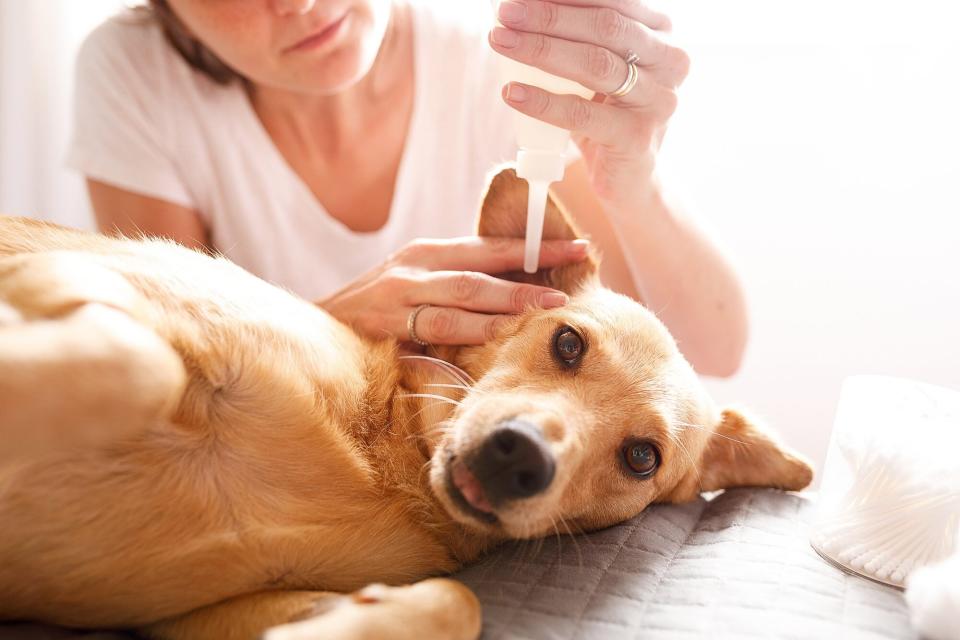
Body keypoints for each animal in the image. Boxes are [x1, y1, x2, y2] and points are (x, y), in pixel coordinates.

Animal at [0, 168, 812, 636]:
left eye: (642, 457)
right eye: (568, 343)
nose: (518, 459)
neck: (384, 466)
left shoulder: (192, 617)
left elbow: (455, 605)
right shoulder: (98, 287)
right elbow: (132, 363)